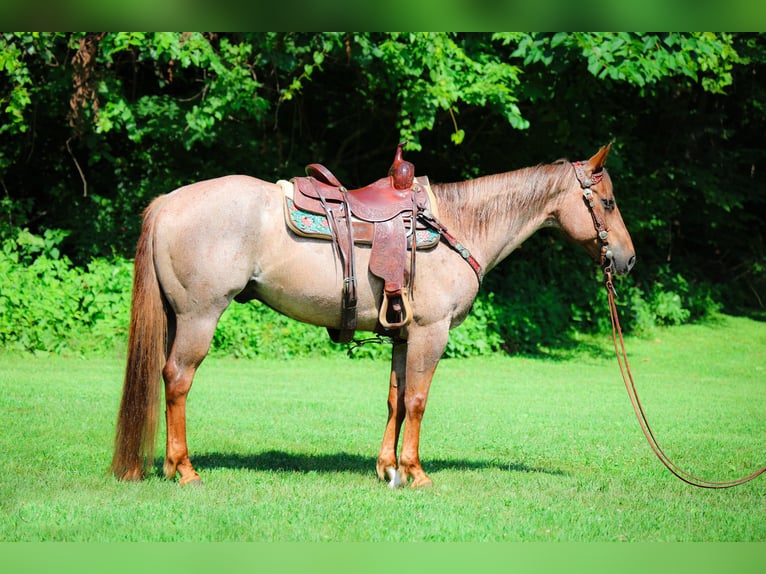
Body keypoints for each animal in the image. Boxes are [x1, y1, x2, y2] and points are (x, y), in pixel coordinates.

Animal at [111, 143, 635, 487]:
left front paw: (388, 468)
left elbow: (395, 400)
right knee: (178, 379)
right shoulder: (430, 333)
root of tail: (168, 202)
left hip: (177, 318)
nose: (628, 260)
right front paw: (416, 473)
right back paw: (184, 470)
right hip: (200, 317)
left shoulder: (403, 335)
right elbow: (419, 401)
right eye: (608, 202)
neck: (458, 225)